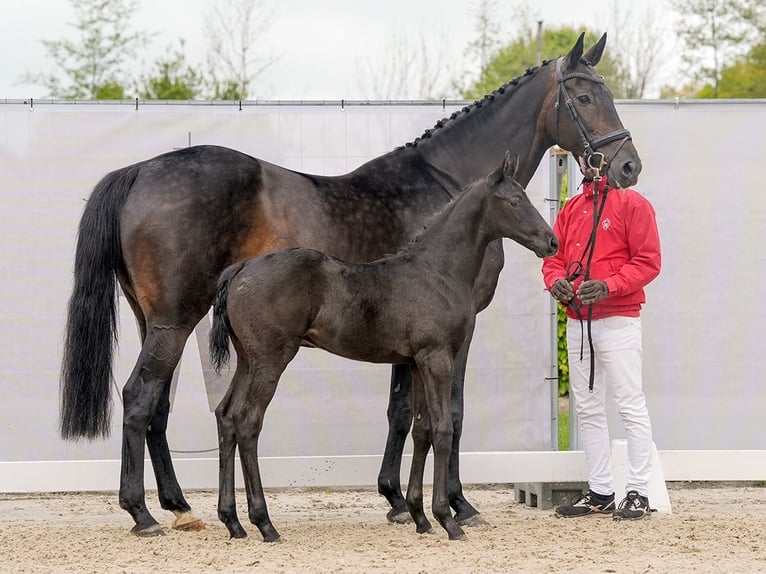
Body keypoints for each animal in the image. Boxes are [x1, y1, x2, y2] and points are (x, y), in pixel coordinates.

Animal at [210, 153, 560, 544]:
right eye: (515, 201)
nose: (551, 242)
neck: (438, 271)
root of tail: (240, 269)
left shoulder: (417, 362)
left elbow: (422, 430)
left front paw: (420, 516)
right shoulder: (438, 357)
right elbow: (442, 429)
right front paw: (448, 519)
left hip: (248, 360)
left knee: (226, 416)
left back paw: (233, 521)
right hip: (272, 359)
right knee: (248, 422)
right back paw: (264, 523)